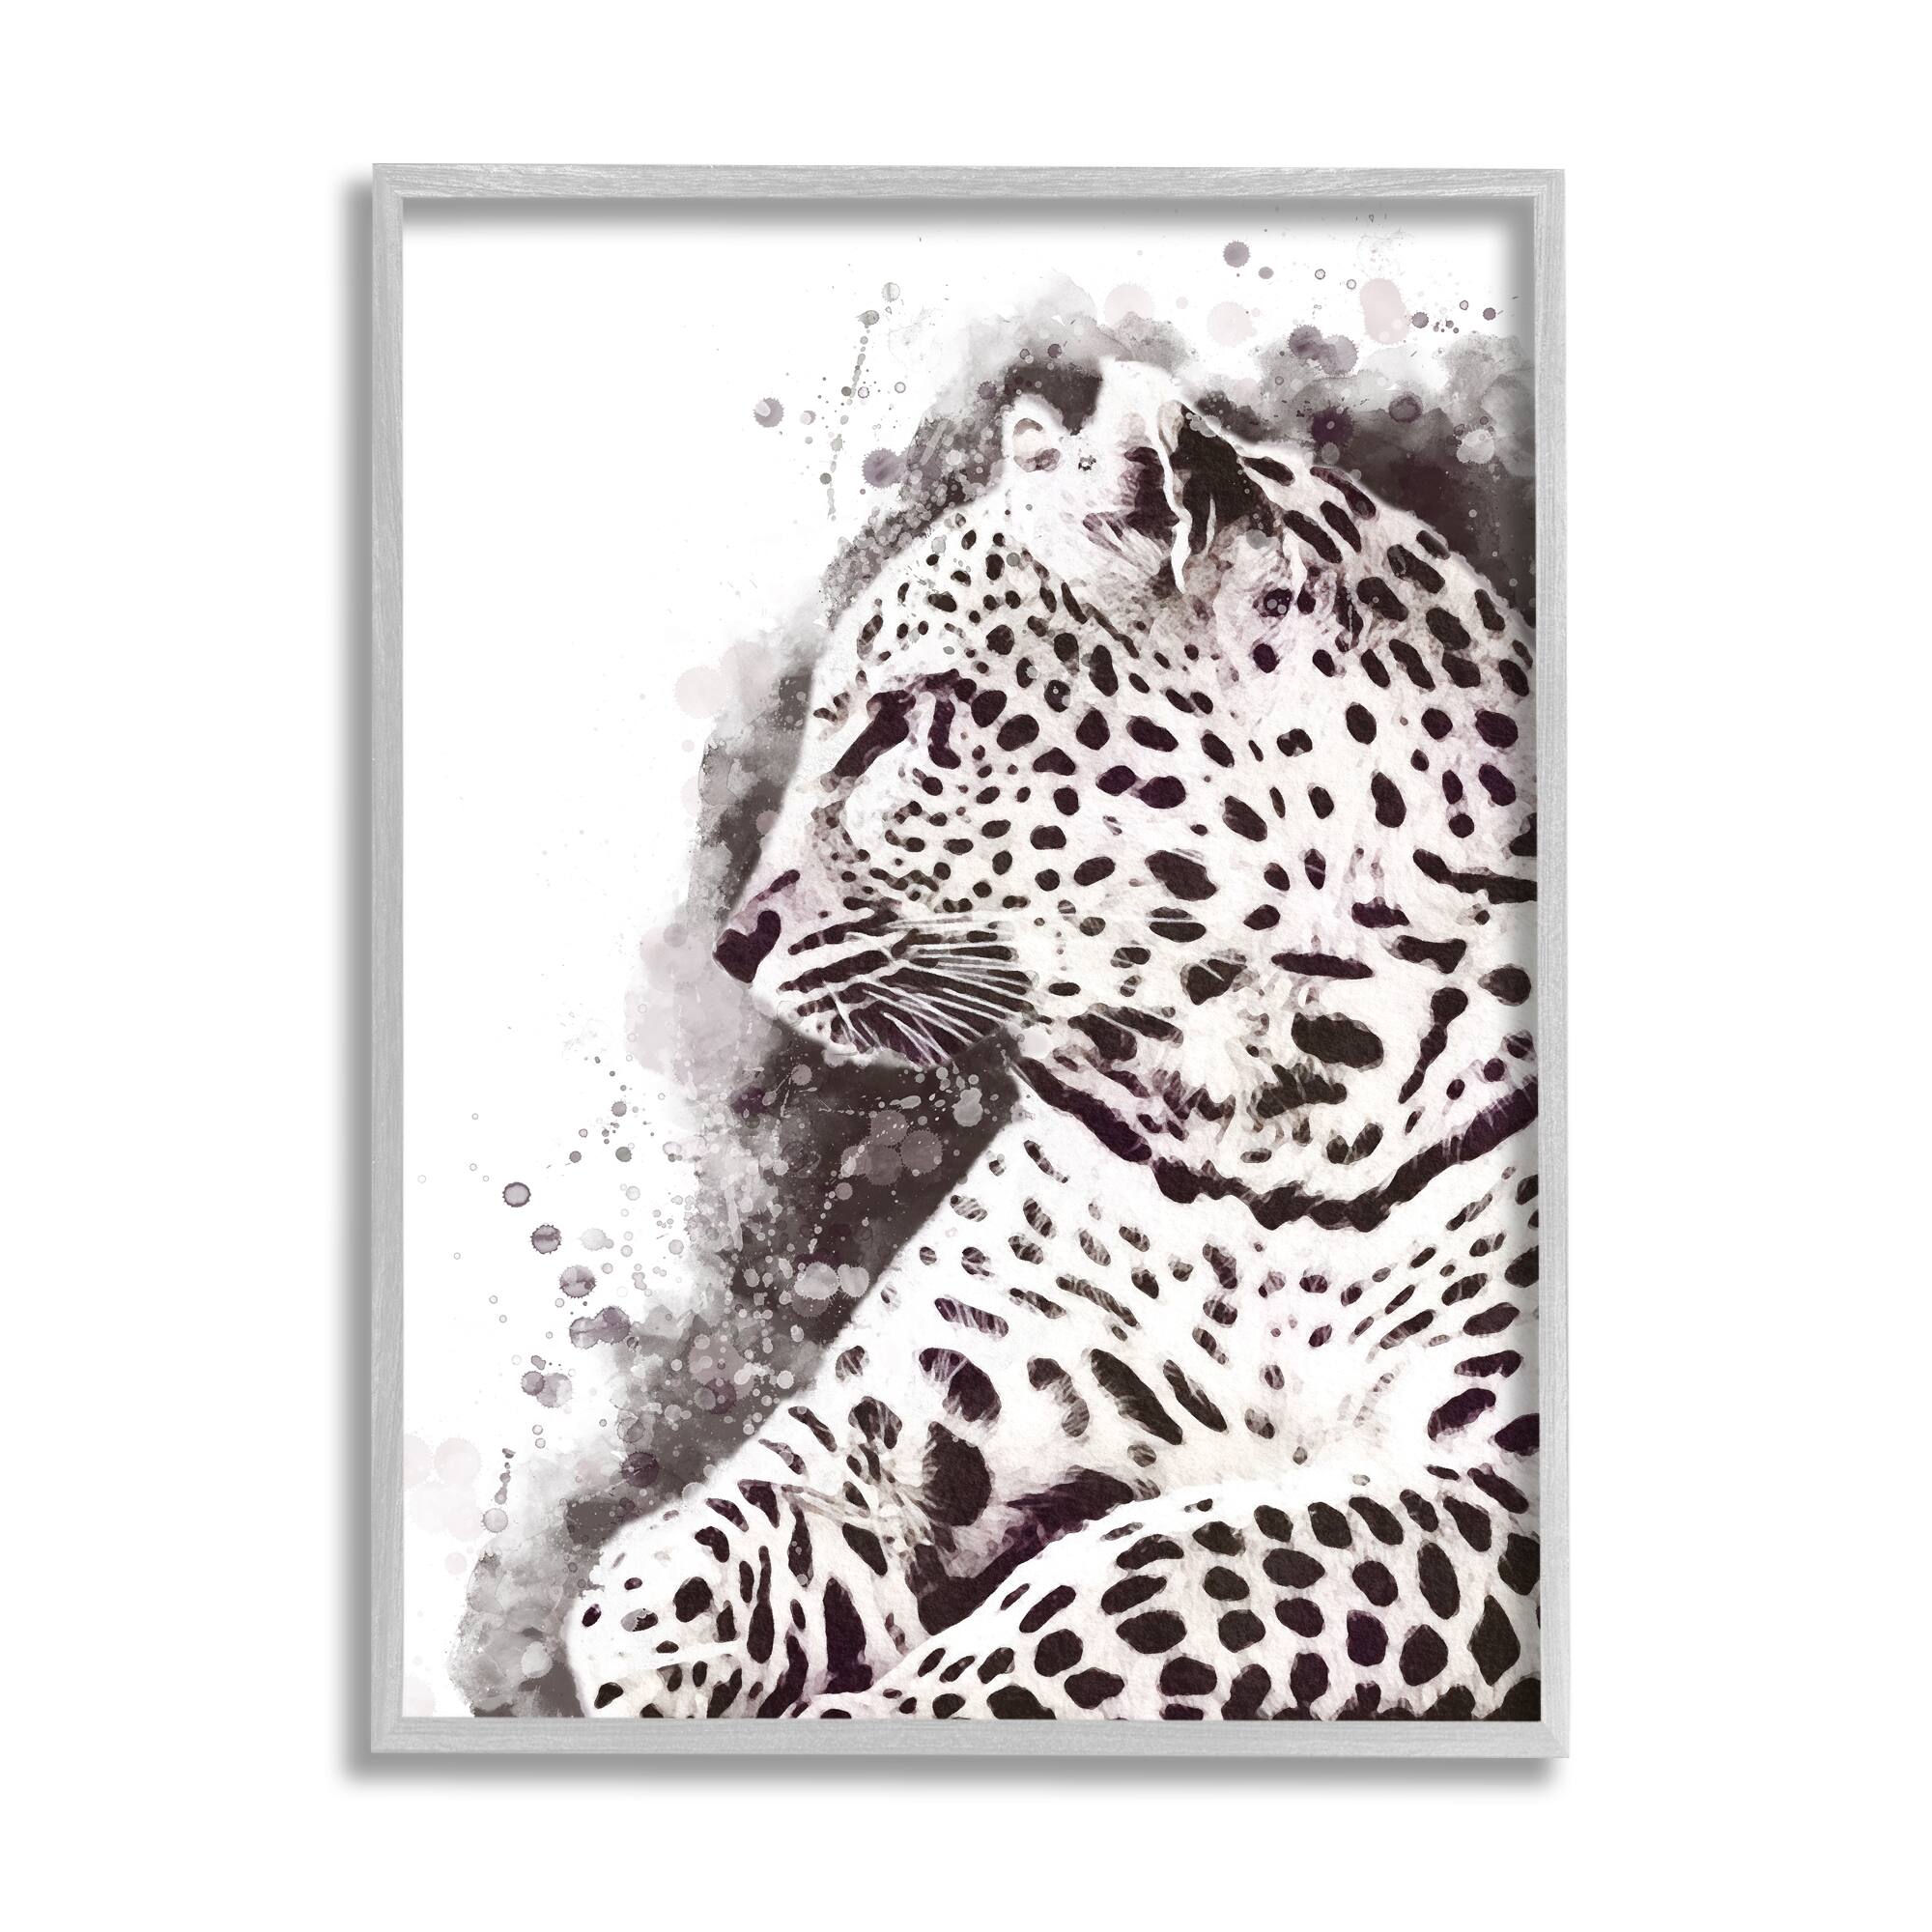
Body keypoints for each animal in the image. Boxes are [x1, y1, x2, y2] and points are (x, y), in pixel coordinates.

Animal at [566, 360, 1542, 1721]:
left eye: (902, 722)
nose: (734, 940)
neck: (1259, 1111)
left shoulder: (1489, 1479)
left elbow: (1150, 1578)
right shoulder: (890, 1427)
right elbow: (671, 1568)